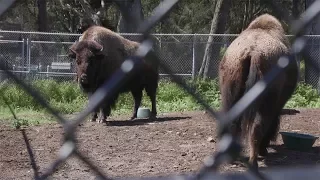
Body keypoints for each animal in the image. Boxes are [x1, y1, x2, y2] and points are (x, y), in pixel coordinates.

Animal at [219, 13, 298, 168]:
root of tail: (253, 52)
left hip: (230, 95)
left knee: (232, 123)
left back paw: (231, 157)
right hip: (265, 102)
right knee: (258, 126)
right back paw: (254, 159)